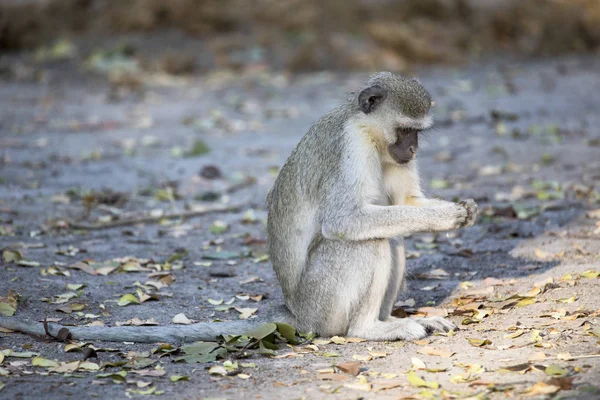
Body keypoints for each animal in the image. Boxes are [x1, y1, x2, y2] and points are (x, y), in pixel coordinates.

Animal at [0, 71, 478, 340]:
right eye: (405, 130)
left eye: (418, 134)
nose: (411, 150)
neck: (368, 131)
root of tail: (296, 314)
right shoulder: (349, 147)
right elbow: (345, 220)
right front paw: (445, 215)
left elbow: (406, 203)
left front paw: (462, 209)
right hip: (321, 305)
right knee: (367, 242)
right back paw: (371, 330)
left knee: (391, 237)